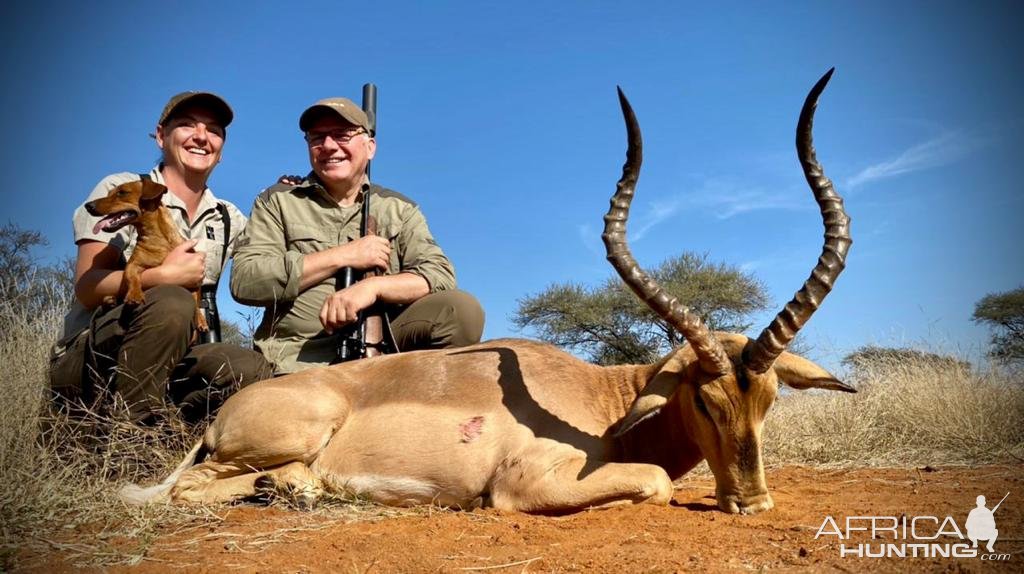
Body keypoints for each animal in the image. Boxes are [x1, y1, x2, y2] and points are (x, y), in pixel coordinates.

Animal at [86, 179, 209, 331]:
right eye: (109, 193)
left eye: (122, 192)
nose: (88, 206)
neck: (158, 239)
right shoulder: (133, 264)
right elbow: (132, 277)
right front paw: (135, 294)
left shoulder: (195, 284)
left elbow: (196, 302)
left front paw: (201, 319)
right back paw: (111, 301)